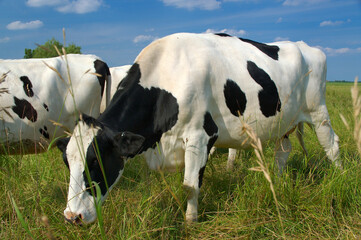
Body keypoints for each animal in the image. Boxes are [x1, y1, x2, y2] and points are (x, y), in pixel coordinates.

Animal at [56, 32, 338, 224]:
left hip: (318, 111)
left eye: (96, 161)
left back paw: (340, 176)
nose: (71, 216)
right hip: (285, 123)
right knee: (283, 152)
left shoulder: (200, 137)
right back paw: (277, 183)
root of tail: (304, 46)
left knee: (331, 145)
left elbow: (190, 186)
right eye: (68, 163)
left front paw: (191, 221)